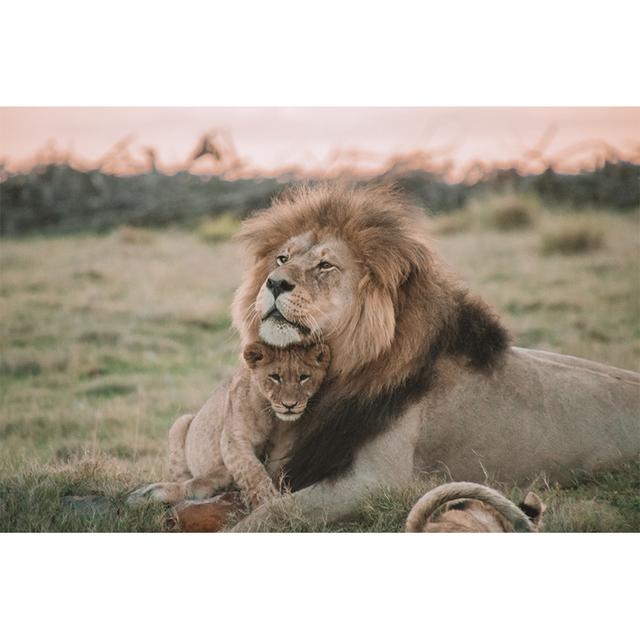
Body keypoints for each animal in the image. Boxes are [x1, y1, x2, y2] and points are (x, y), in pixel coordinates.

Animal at [128, 342, 329, 508]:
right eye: (275, 377)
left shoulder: (286, 446)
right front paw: (269, 502)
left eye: (304, 377)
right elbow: (252, 470)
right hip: (180, 423)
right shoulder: (233, 439)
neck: (274, 418)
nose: (290, 405)